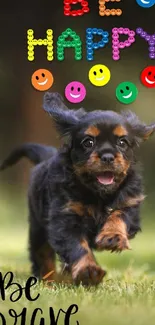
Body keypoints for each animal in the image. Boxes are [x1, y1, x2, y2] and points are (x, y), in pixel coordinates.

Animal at [1, 92, 155, 284]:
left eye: (122, 142)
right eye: (88, 142)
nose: (107, 157)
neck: (98, 194)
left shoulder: (130, 204)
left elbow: (118, 216)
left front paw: (112, 236)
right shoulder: (65, 218)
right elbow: (77, 246)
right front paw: (88, 271)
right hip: (38, 228)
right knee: (42, 256)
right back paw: (49, 282)